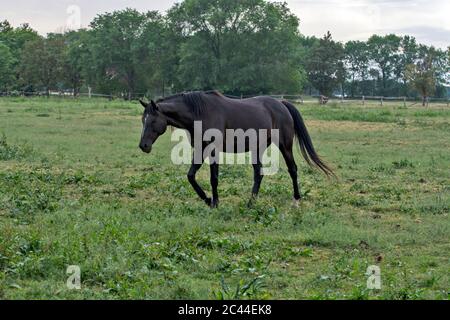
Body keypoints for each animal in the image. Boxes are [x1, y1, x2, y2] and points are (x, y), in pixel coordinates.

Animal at [139, 91, 332, 209]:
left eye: (152, 120)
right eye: (143, 120)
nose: (143, 146)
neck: (199, 113)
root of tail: (282, 103)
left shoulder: (213, 150)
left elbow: (214, 178)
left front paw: (215, 202)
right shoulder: (201, 150)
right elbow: (191, 176)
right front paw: (208, 199)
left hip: (285, 145)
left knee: (293, 169)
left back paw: (296, 200)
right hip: (257, 148)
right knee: (258, 174)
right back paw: (251, 202)